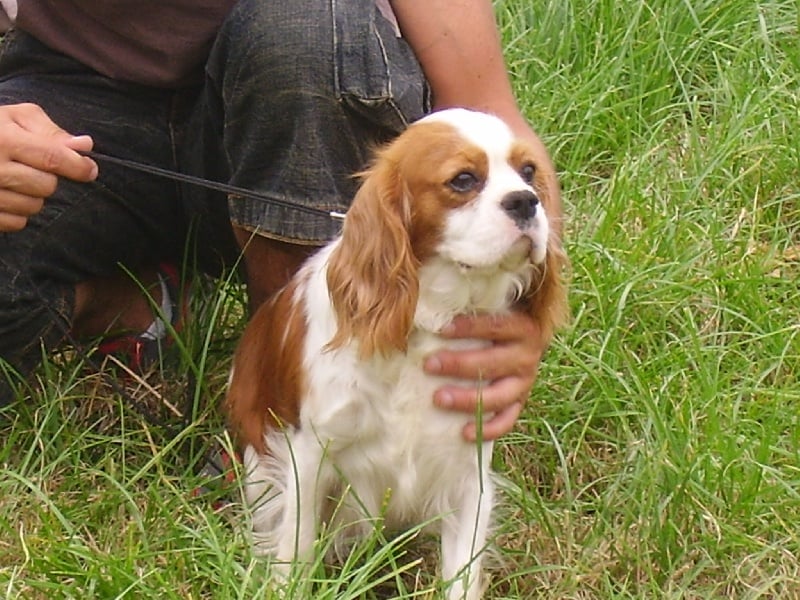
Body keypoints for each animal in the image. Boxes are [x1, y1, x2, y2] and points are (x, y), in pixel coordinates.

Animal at [222, 109, 564, 600]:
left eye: (529, 171)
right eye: (463, 180)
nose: (525, 201)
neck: (431, 320)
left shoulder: (468, 475)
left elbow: (462, 575)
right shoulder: (308, 455)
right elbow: (296, 551)